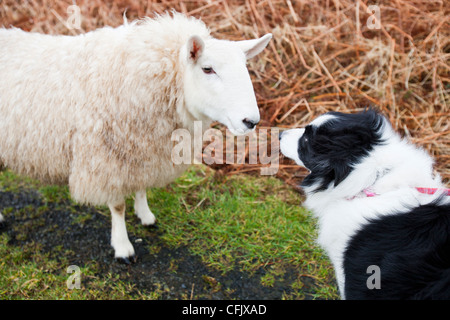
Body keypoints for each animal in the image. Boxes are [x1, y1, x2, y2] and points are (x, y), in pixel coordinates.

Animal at [0, 11, 270, 262]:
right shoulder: (106, 159)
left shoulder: (143, 148)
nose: (251, 121)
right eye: (207, 69)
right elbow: (118, 206)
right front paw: (122, 247)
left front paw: (145, 215)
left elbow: (141, 186)